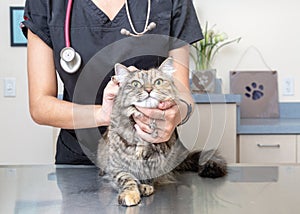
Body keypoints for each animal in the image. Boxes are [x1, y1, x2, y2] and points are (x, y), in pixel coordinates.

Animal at [97, 56, 226, 206]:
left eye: (158, 82)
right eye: (136, 84)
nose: (148, 90)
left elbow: (147, 176)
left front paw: (145, 186)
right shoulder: (117, 166)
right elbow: (127, 179)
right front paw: (131, 193)